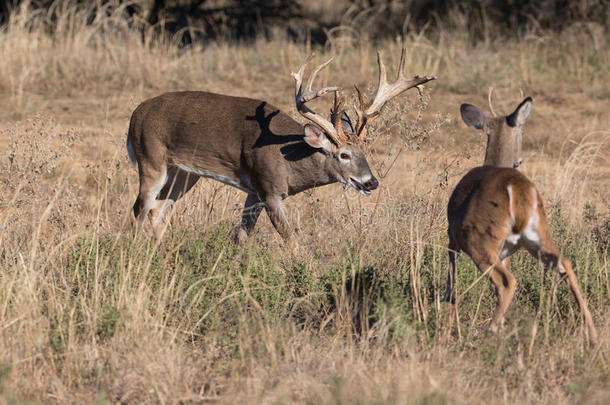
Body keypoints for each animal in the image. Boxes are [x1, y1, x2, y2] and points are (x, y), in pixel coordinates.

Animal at [126, 51, 434, 246]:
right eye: (343, 155)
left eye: (364, 153)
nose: (371, 182)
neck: (289, 159)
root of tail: (135, 115)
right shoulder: (269, 188)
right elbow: (291, 240)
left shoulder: (254, 191)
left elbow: (241, 236)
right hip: (151, 159)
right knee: (139, 208)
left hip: (185, 173)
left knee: (157, 209)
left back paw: (165, 251)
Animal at [440, 95, 596, 344]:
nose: (519, 160)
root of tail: (518, 187)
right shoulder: (506, 251)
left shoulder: (452, 235)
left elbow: (451, 273)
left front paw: (448, 301)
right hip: (538, 235)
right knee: (565, 263)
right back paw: (592, 334)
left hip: (480, 239)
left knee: (507, 281)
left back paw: (490, 333)